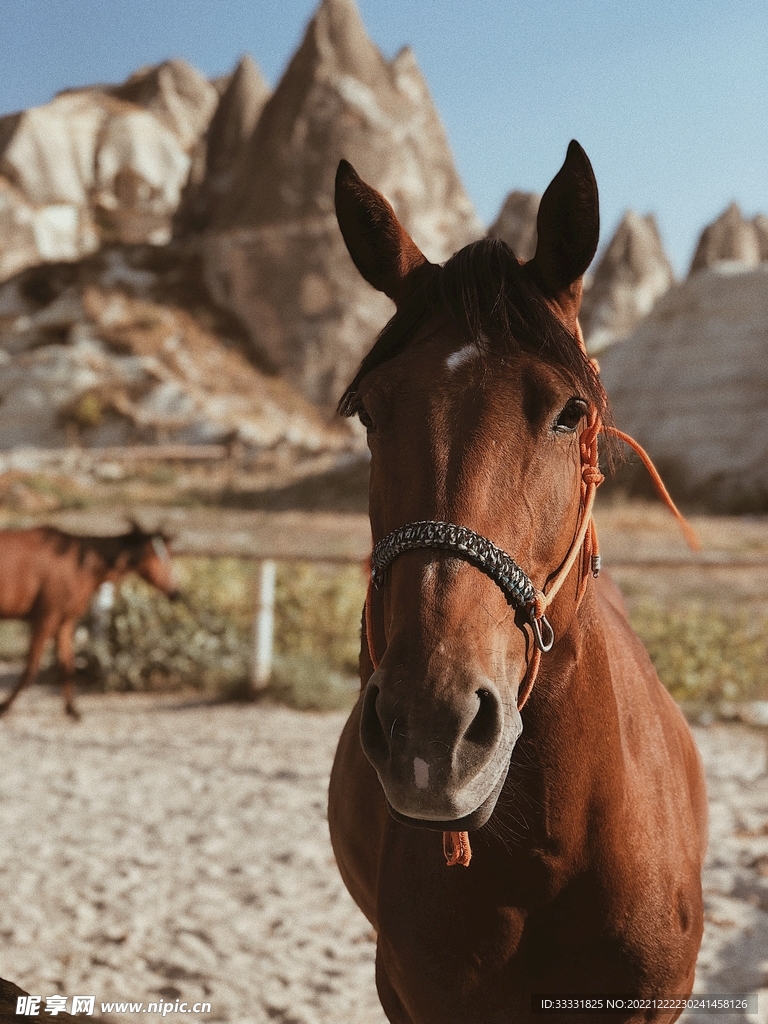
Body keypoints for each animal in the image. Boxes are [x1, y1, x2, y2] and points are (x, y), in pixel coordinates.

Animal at [0, 525, 179, 719]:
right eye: (152, 555)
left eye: (169, 553)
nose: (175, 592)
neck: (75, 563)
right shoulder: (46, 619)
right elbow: (31, 667)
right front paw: (5, 706)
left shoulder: (65, 622)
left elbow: (67, 663)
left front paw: (72, 709)